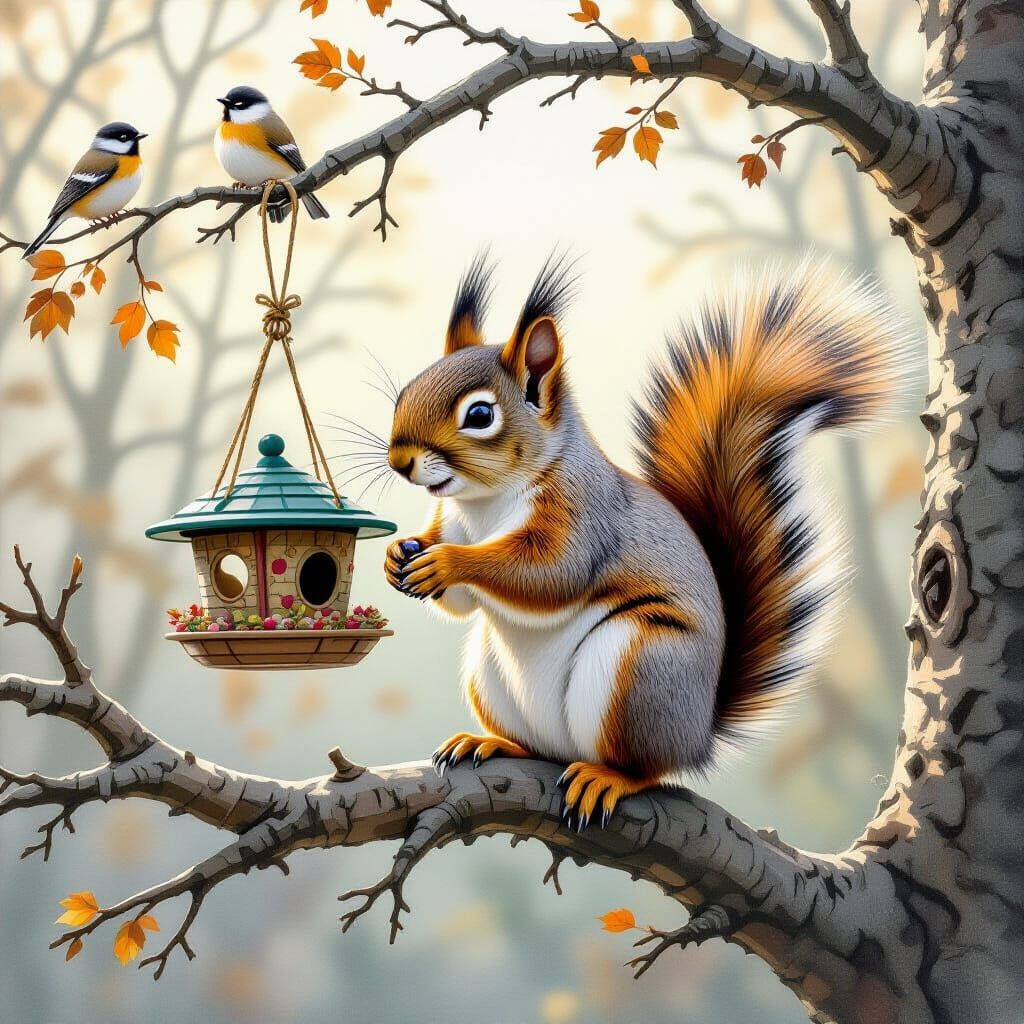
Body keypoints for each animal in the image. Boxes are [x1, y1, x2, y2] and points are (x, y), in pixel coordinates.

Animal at [384, 253, 904, 829]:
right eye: (405, 391)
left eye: (479, 415)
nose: (400, 461)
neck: (484, 504)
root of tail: (698, 735)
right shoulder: (451, 520)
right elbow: (458, 602)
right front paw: (397, 556)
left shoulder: (583, 515)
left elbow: (551, 574)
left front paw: (448, 563)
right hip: (492, 678)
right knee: (540, 748)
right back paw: (491, 743)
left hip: (641, 669)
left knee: (646, 768)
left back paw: (607, 777)